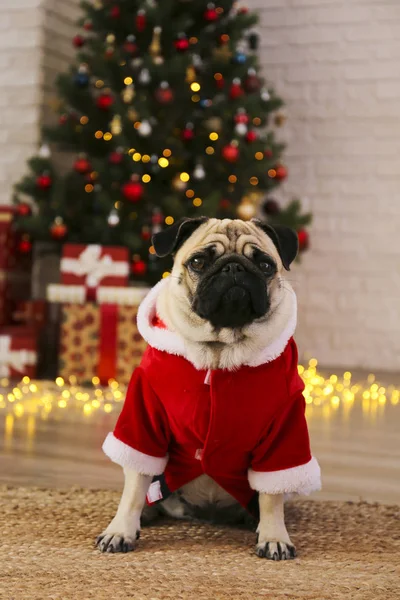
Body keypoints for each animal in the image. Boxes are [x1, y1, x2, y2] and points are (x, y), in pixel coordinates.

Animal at [98, 218, 320, 560]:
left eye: (265, 265)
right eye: (199, 262)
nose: (234, 267)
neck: (219, 352)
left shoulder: (284, 430)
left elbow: (271, 496)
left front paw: (274, 536)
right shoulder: (144, 419)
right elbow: (135, 486)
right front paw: (120, 530)